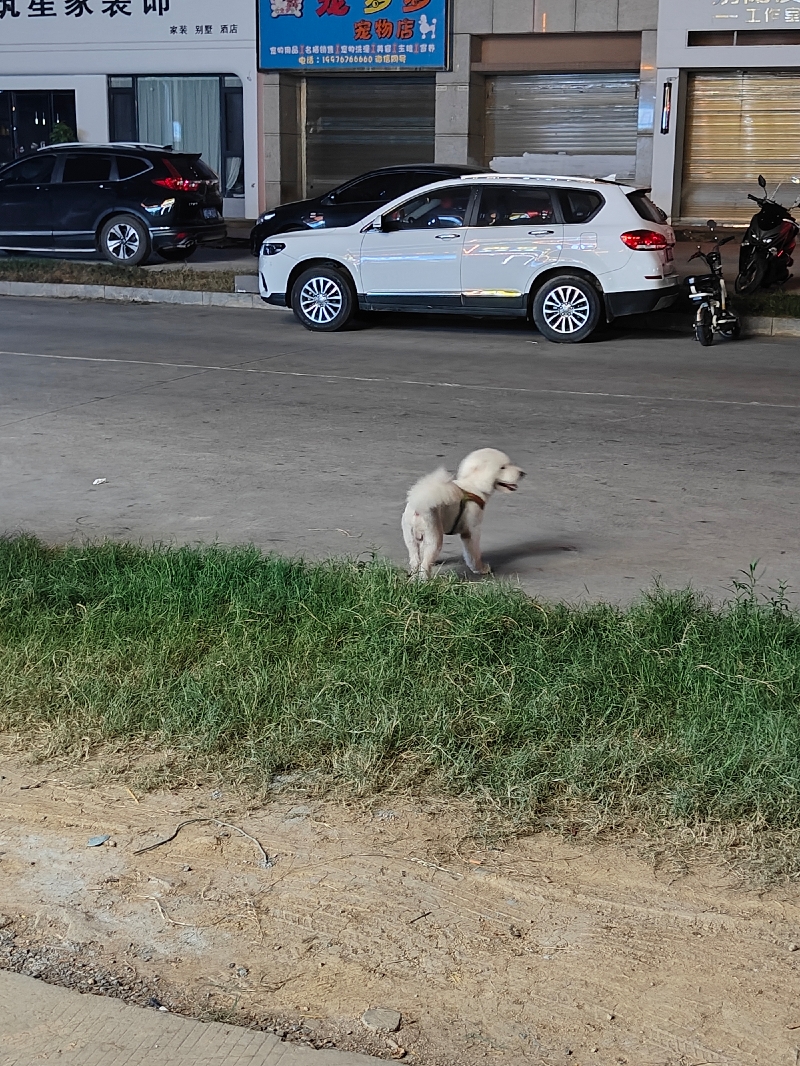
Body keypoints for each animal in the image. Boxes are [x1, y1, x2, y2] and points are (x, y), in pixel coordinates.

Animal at [401, 449, 526, 584]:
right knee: (424, 565)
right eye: (502, 467)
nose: (522, 473)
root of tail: (418, 508)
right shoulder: (471, 531)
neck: (474, 486)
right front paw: (481, 569)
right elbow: (473, 554)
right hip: (433, 537)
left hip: (411, 538)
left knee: (415, 561)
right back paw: (425, 582)